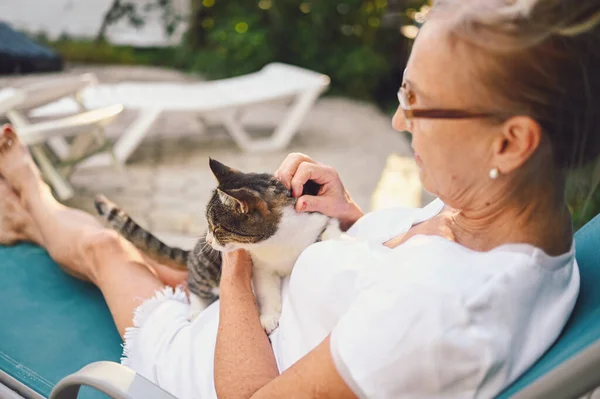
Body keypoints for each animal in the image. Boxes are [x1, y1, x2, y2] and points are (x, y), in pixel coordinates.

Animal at [92, 159, 338, 334]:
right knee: (194, 283)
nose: (209, 240)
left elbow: (330, 230)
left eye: (217, 227)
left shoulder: (318, 214)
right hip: (206, 265)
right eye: (209, 225)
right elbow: (267, 290)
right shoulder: (261, 267)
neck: (277, 241)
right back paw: (196, 309)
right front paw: (269, 317)